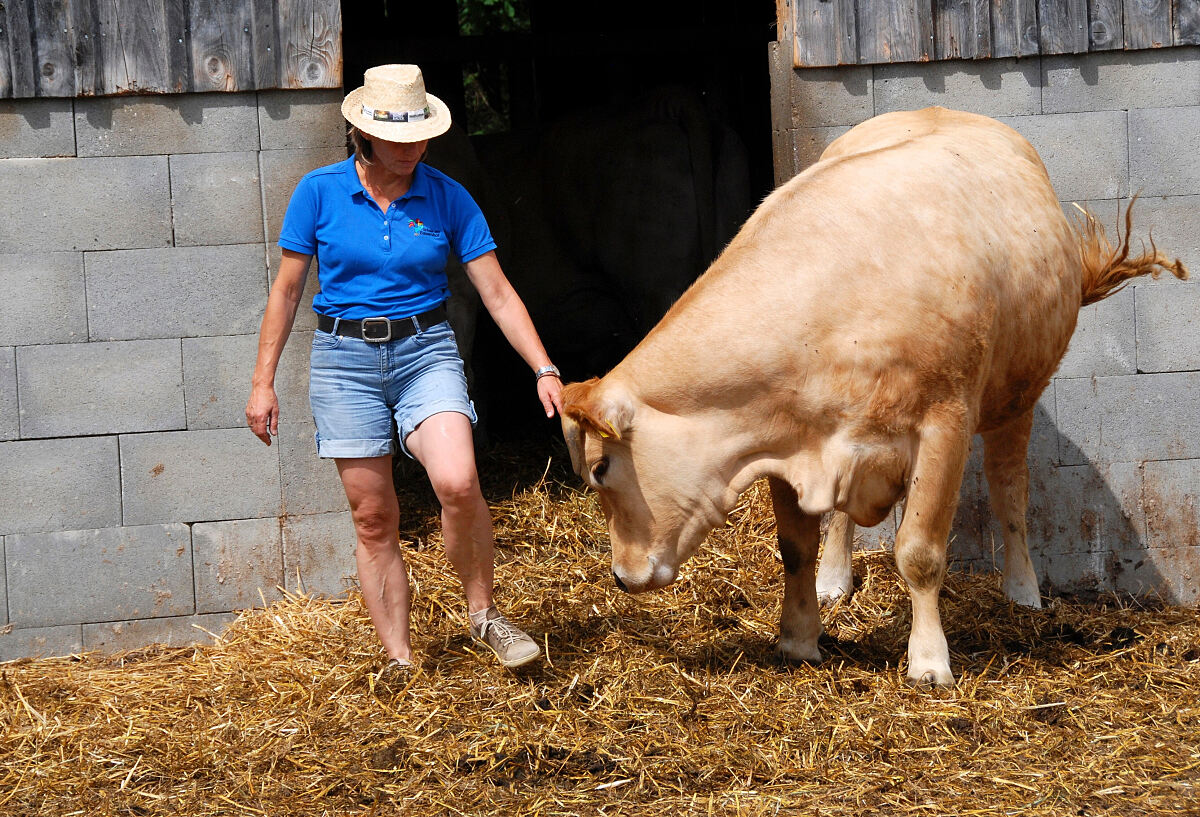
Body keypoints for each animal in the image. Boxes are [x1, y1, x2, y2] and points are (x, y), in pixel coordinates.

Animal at [556, 106, 1185, 681]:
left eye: (602, 469)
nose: (621, 576)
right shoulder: (785, 444)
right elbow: (796, 547)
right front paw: (798, 638)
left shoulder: (944, 424)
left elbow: (921, 552)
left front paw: (929, 662)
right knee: (842, 520)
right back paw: (835, 580)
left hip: (1017, 397)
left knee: (1010, 491)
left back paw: (1022, 592)